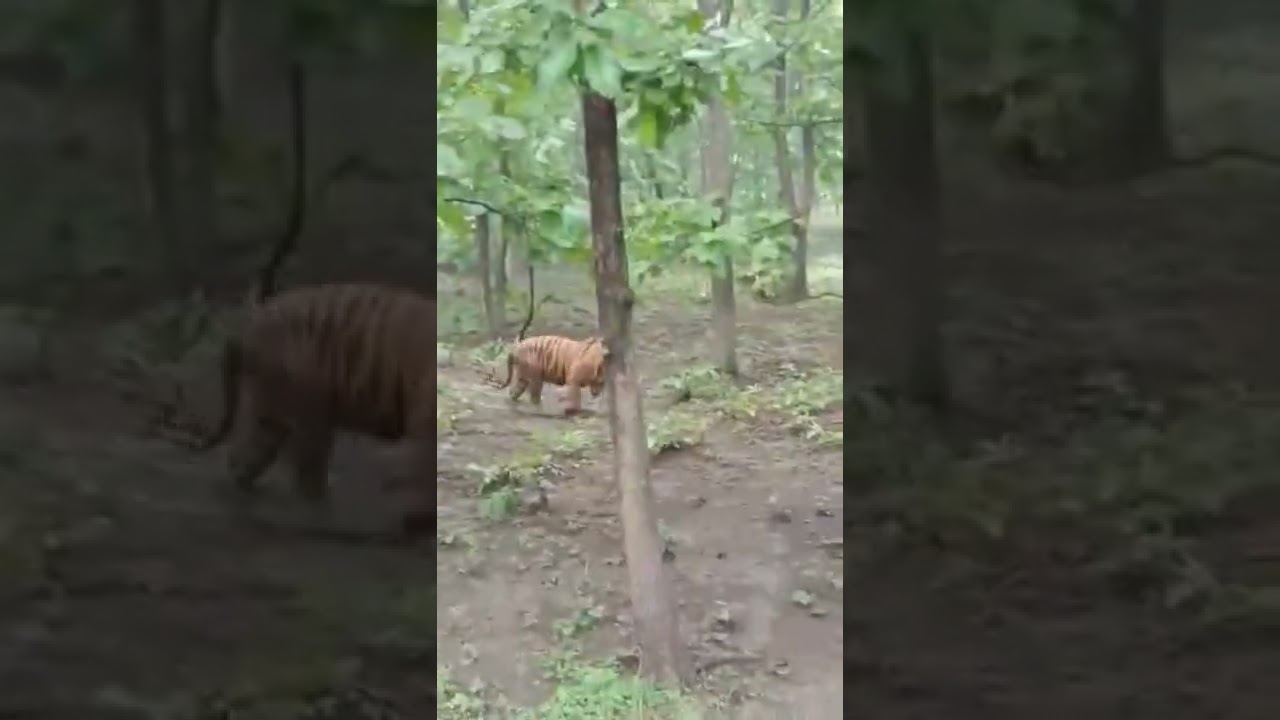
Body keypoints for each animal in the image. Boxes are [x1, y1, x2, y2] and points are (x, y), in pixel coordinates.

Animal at [192, 283, 437, 535]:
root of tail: (250, 324)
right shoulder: (425, 425)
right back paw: (322, 518)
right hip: (309, 407)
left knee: (251, 454)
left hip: (275, 409)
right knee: (307, 472)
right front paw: (420, 523)